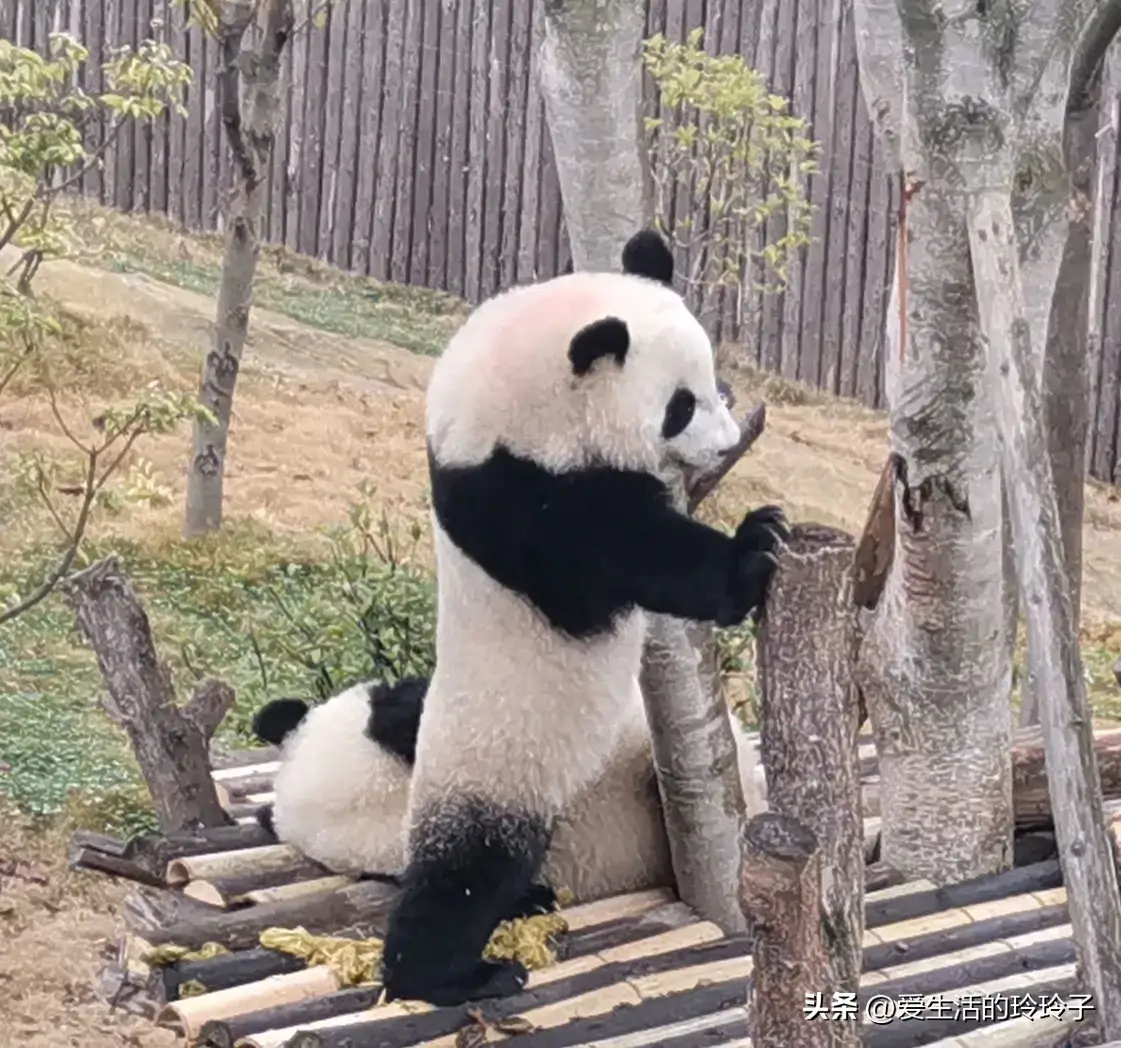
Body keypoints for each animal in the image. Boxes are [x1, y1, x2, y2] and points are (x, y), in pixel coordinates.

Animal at [383, 229, 789, 1008]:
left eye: (715, 381)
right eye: (679, 405)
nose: (727, 442)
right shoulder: (519, 501)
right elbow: (633, 554)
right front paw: (753, 551)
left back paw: (528, 902)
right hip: (494, 768)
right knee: (463, 876)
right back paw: (449, 974)